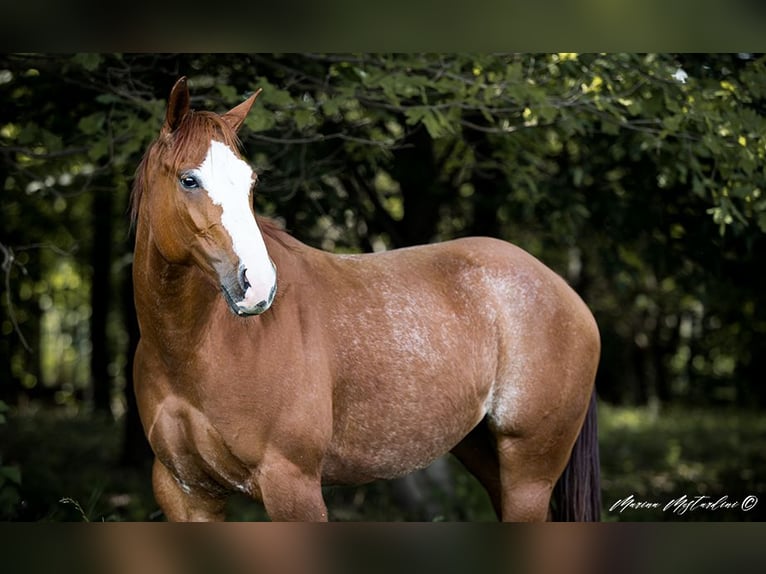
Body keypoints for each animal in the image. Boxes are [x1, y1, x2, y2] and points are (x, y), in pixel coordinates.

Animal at [130, 76, 601, 522]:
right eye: (189, 179)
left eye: (250, 182)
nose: (259, 285)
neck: (194, 351)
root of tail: (567, 294)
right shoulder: (188, 494)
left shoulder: (292, 486)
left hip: (529, 472)